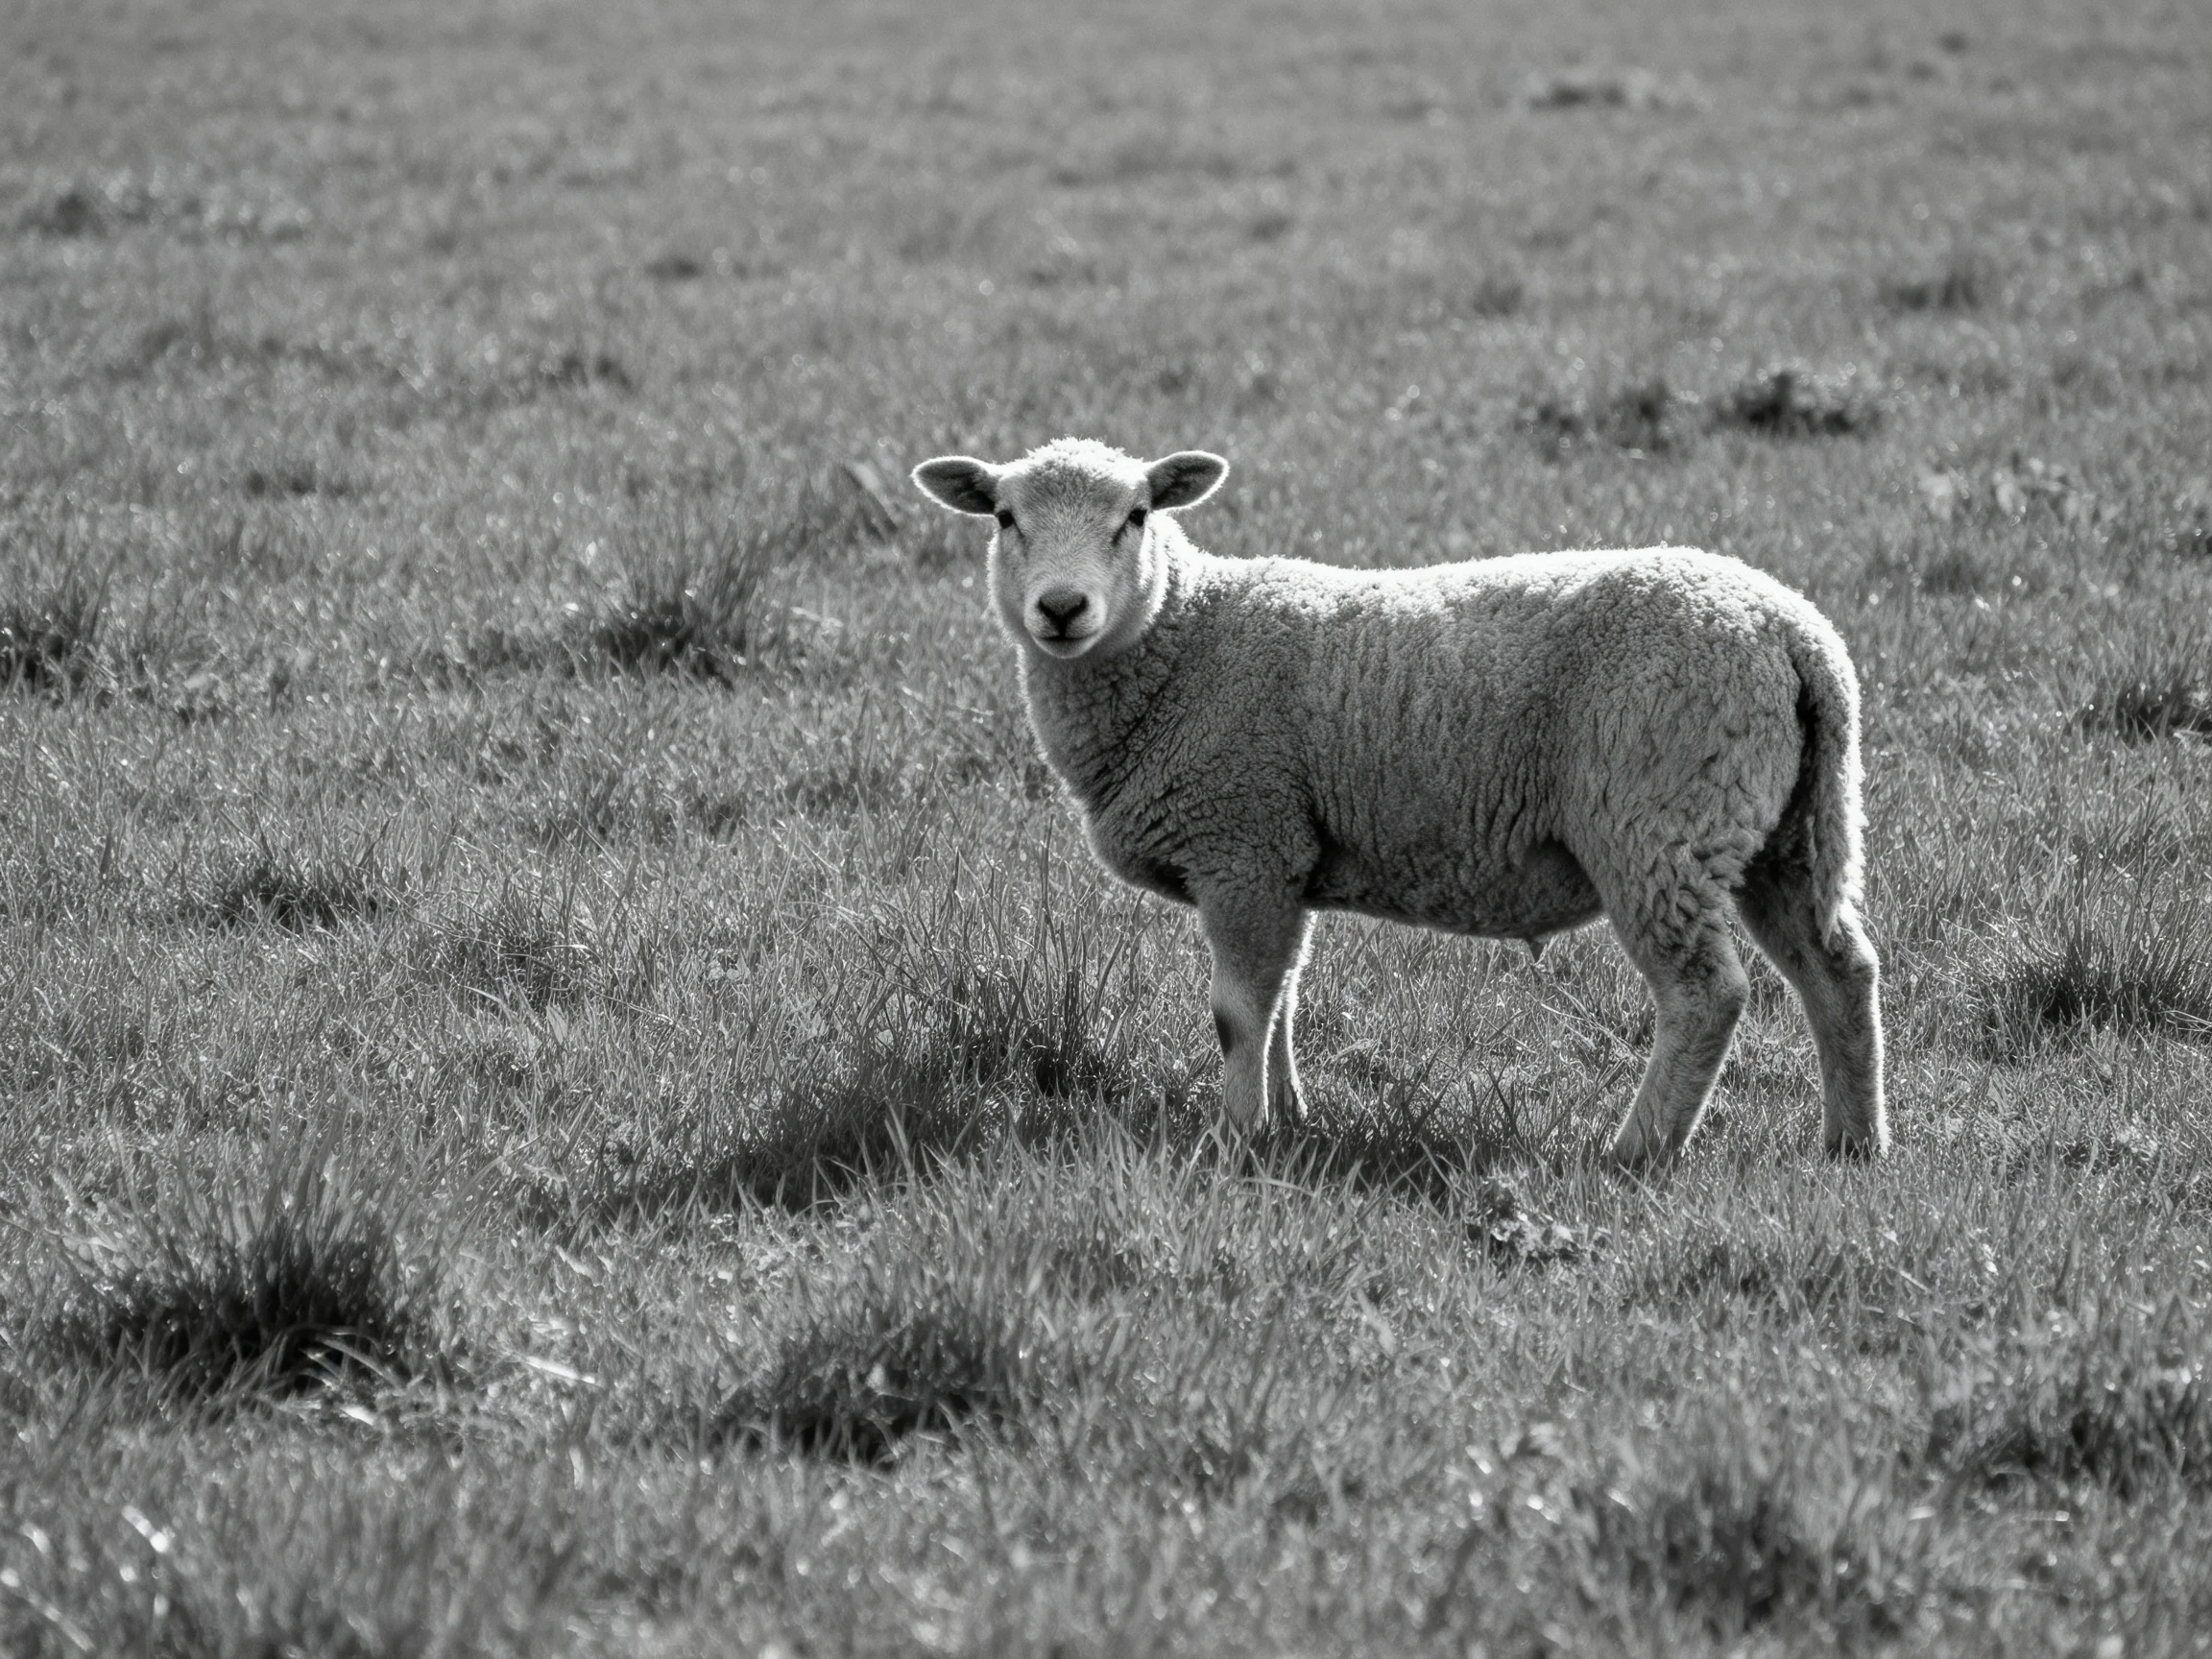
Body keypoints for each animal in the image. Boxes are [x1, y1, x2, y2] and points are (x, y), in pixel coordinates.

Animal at [911, 438, 1886, 1166]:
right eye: (1004, 517)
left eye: (1138, 517)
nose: (1060, 608)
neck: (1186, 641)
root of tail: (1798, 634)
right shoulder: (1283, 853)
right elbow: (1283, 1000)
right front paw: (1289, 1119)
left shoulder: (1241, 840)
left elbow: (1238, 1013)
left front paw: (1237, 1136)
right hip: (1779, 830)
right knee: (1839, 970)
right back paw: (1853, 1143)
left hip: (1656, 823)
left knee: (1705, 994)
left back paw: (1636, 1150)